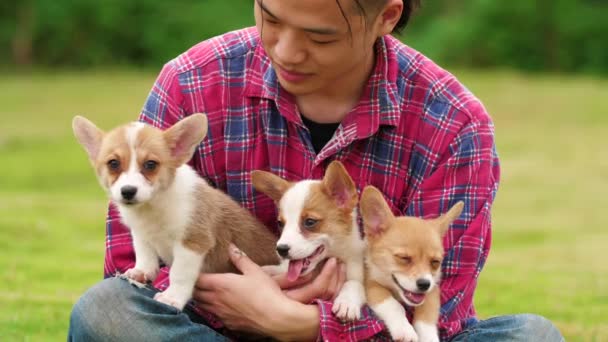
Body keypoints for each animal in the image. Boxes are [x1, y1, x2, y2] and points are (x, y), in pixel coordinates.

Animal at [72, 114, 280, 310]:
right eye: (113, 163)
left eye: (150, 164)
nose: (128, 191)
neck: (153, 205)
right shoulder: (140, 233)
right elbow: (144, 253)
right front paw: (141, 272)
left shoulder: (193, 242)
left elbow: (178, 274)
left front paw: (172, 298)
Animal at [251, 160, 366, 320]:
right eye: (280, 223)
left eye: (310, 222)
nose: (281, 249)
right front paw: (268, 270)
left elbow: (355, 283)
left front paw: (347, 301)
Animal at [358, 187, 464, 342]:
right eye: (404, 258)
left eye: (435, 262)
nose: (424, 284)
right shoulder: (371, 284)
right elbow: (394, 305)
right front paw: (405, 330)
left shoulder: (432, 289)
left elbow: (426, 317)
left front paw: (428, 338)